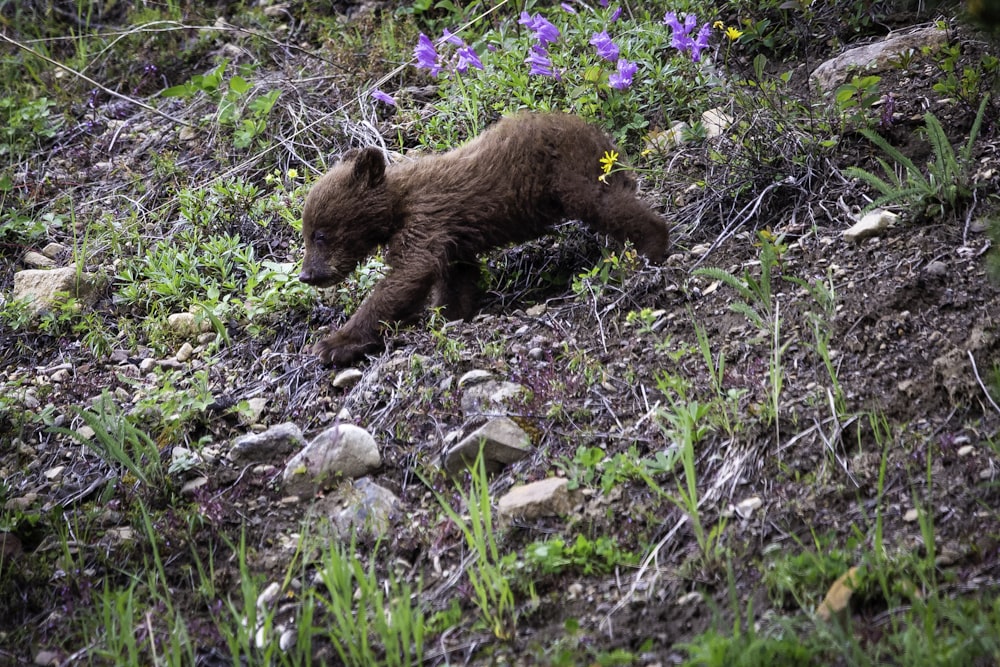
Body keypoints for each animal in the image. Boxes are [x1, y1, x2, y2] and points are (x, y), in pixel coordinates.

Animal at [298, 112, 672, 368]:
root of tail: (601, 136)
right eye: (307, 233)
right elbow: (456, 277)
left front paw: (334, 343)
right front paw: (450, 314)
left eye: (320, 234)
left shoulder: (427, 218)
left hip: (571, 173)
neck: (397, 205)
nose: (307, 275)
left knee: (607, 204)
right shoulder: (452, 238)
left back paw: (652, 248)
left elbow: (407, 273)